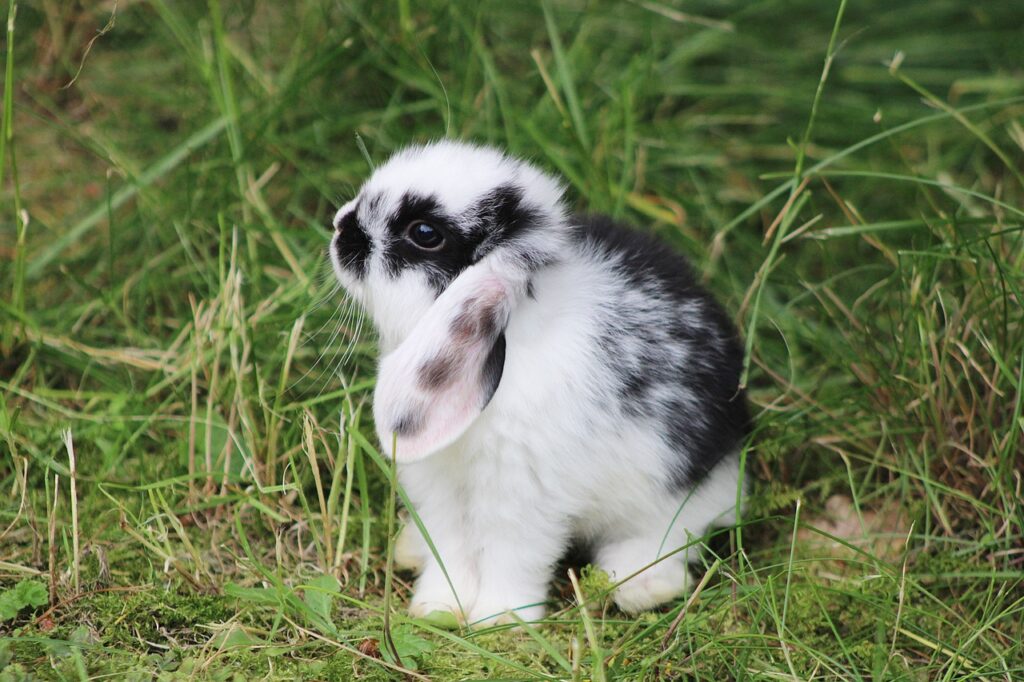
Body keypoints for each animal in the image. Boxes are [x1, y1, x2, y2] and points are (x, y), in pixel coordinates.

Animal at [329, 140, 753, 622]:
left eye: (424, 232)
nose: (340, 226)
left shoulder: (523, 498)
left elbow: (512, 557)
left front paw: (501, 621)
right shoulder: (441, 493)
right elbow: (450, 550)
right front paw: (438, 608)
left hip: (676, 495)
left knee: (673, 537)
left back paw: (641, 586)